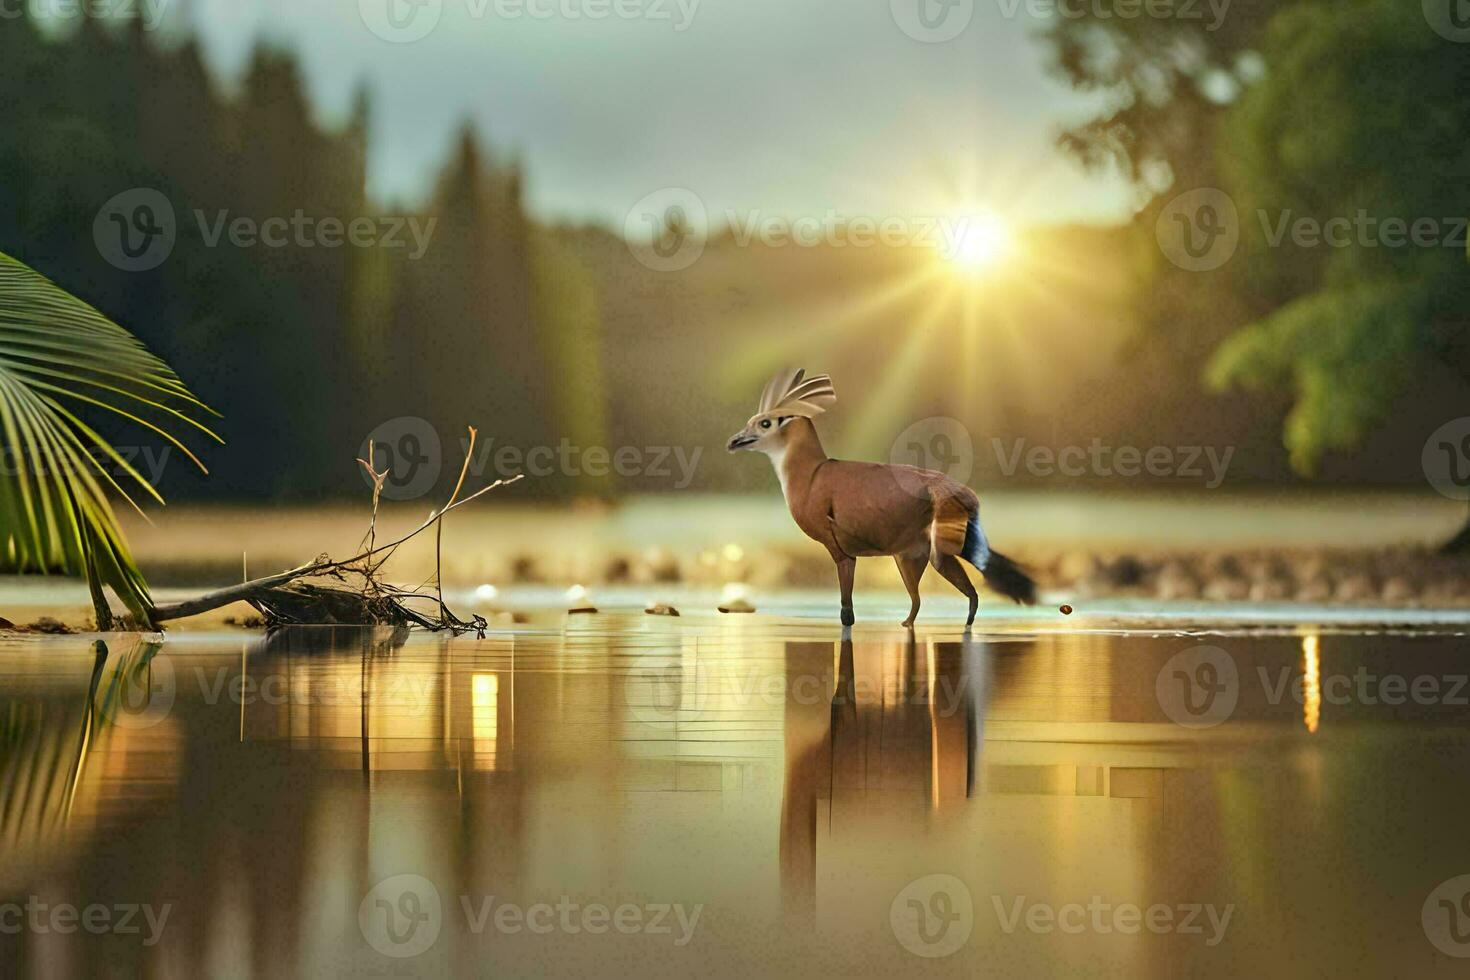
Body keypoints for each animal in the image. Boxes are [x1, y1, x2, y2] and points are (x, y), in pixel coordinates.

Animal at [726, 367, 1034, 628]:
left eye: (765, 423)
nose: (734, 441)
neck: (810, 474)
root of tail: (965, 494)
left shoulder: (840, 550)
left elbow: (846, 612)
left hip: (936, 551)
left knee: (967, 592)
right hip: (913, 554)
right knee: (935, 596)